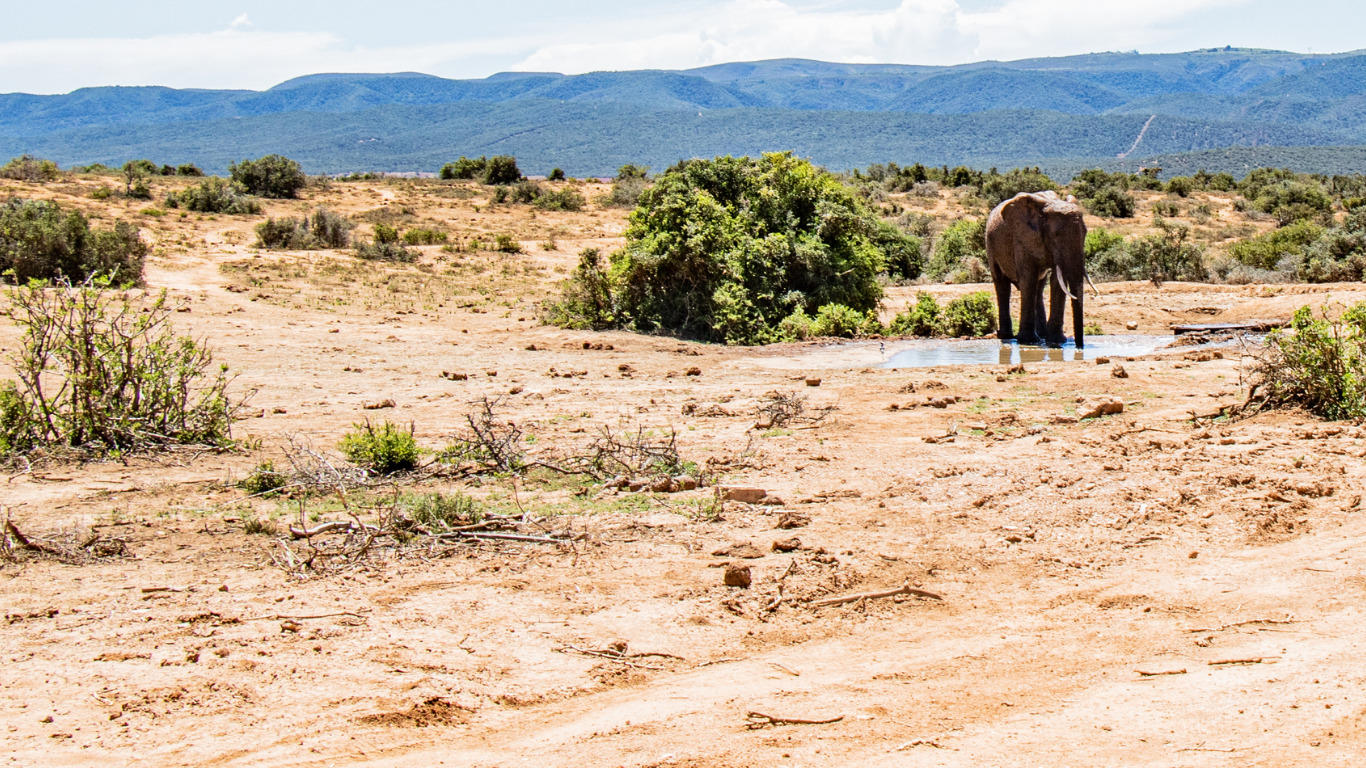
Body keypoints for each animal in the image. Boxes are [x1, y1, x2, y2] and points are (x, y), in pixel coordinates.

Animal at [988, 191, 1092, 347]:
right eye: (1056, 235)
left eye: (1085, 233)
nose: (1080, 347)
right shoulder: (1021, 237)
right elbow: (1028, 277)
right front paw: (1028, 341)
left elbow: (1057, 280)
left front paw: (1056, 341)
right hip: (990, 245)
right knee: (1002, 285)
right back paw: (1006, 335)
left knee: (1039, 286)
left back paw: (1042, 334)